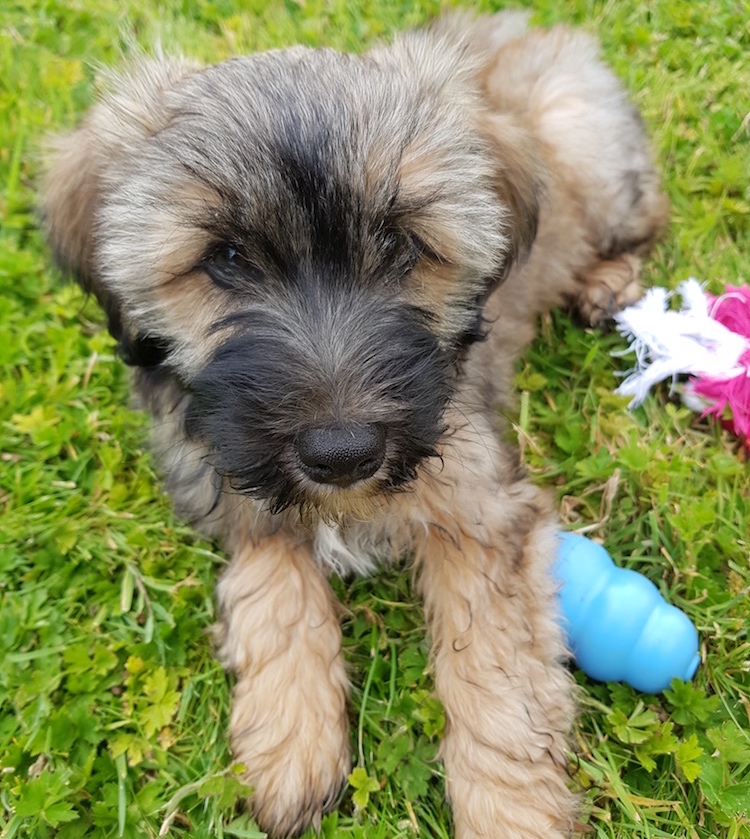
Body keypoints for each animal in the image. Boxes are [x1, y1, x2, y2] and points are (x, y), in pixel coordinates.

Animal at [41, 13, 668, 839]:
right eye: (226, 258)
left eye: (402, 245)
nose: (342, 453)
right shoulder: (236, 479)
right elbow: (274, 597)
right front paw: (290, 744)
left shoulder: (479, 505)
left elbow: (496, 670)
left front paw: (510, 809)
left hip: (586, 149)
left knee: (643, 220)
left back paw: (607, 283)